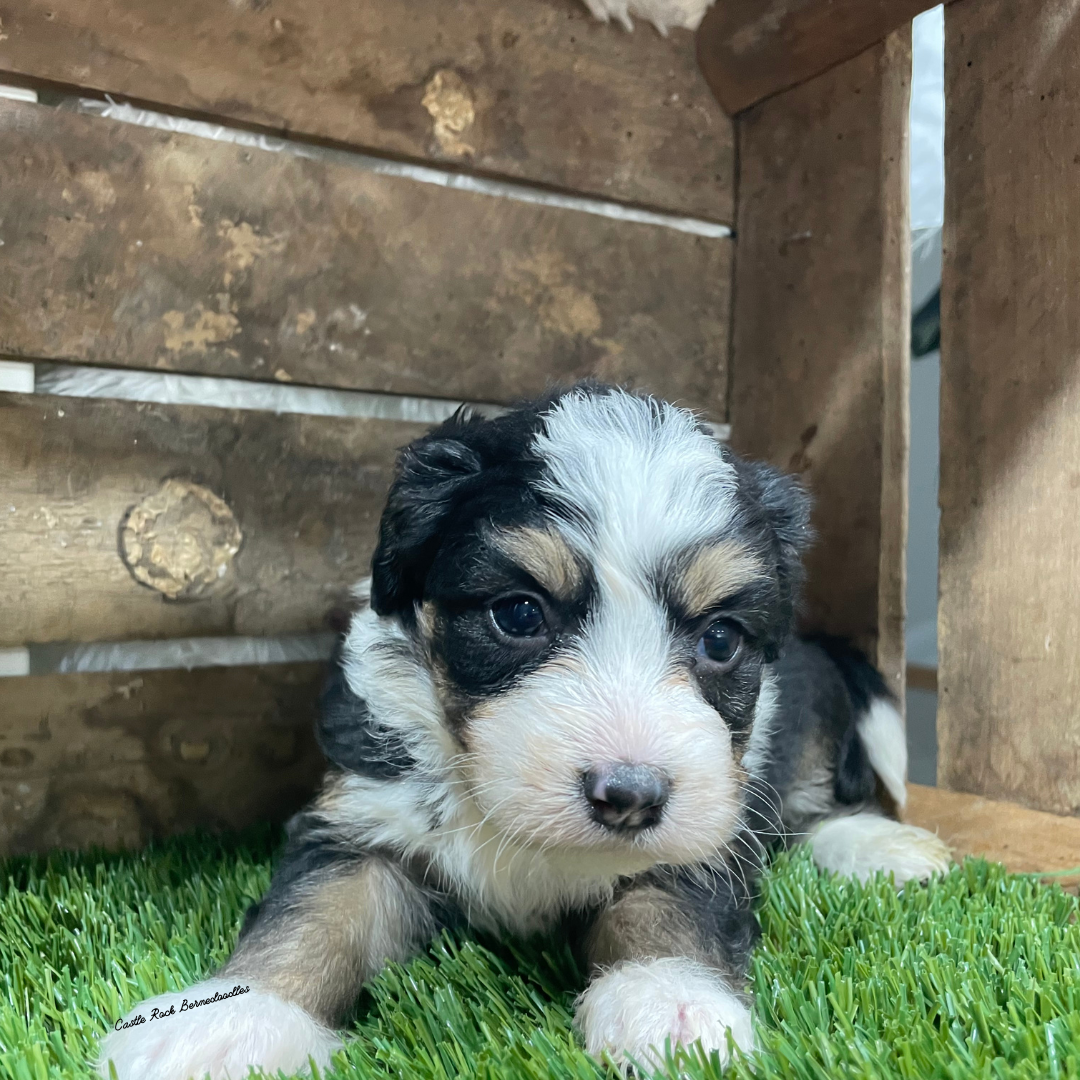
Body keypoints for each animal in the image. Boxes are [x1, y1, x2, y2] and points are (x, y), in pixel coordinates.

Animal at [99, 386, 946, 1080]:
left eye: (720, 639)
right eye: (517, 613)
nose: (630, 797)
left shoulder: (710, 819)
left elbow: (667, 903)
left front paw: (669, 1007)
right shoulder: (367, 814)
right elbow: (315, 914)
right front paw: (230, 1024)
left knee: (816, 811)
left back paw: (885, 847)